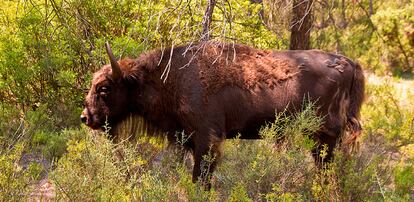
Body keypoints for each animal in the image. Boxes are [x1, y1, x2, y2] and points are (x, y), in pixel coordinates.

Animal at [81, 41, 366, 188]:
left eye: (104, 88)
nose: (86, 117)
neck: (169, 78)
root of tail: (349, 62)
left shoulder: (208, 140)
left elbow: (201, 178)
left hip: (325, 136)